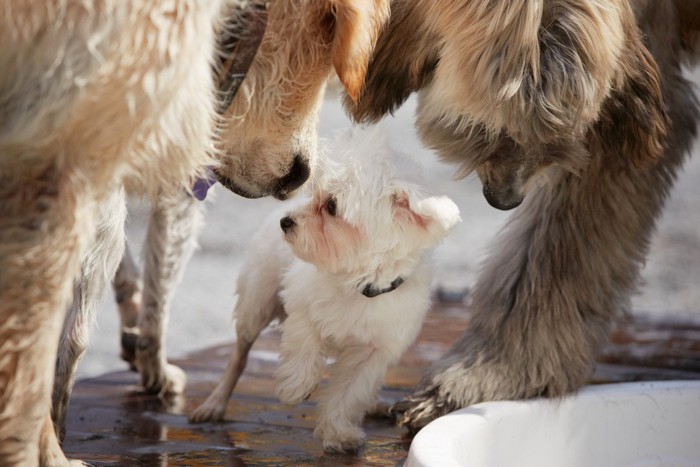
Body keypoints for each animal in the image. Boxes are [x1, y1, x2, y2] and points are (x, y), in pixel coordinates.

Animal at [189, 130, 460, 452]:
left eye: (331, 206)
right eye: (314, 195)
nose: (286, 222)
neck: (358, 282)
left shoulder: (375, 351)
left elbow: (350, 393)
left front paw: (338, 433)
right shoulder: (303, 310)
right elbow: (304, 346)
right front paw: (295, 387)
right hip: (256, 304)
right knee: (239, 357)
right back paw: (215, 403)